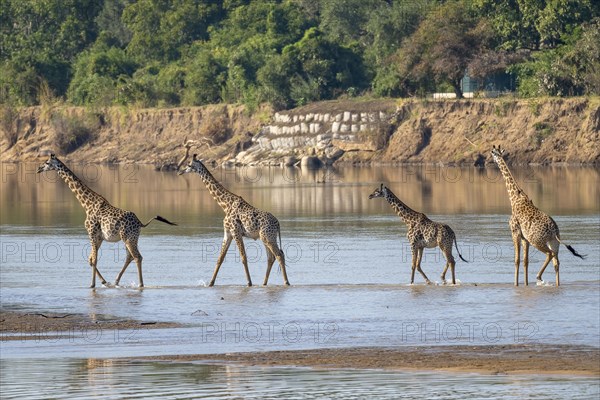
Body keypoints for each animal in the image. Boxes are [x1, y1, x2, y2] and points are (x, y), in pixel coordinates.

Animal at [37, 153, 176, 288]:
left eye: (47, 163)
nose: (38, 169)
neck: (87, 204)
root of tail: (140, 223)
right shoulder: (99, 237)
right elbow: (90, 259)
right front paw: (103, 281)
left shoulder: (92, 233)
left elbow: (94, 260)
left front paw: (92, 284)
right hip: (131, 238)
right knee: (130, 257)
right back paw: (116, 281)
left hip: (128, 238)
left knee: (137, 257)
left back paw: (140, 284)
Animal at [179, 154, 290, 288]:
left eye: (189, 164)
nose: (180, 171)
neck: (225, 205)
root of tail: (278, 223)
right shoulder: (228, 233)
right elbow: (220, 258)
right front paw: (211, 283)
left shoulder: (235, 231)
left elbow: (243, 257)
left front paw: (249, 283)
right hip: (266, 238)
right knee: (271, 258)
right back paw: (264, 283)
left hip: (268, 237)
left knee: (279, 255)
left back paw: (286, 282)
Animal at [490, 145, 584, 286]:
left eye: (493, 154)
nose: (492, 160)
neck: (514, 198)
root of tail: (554, 230)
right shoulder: (525, 238)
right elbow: (525, 261)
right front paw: (525, 284)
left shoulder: (515, 232)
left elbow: (517, 260)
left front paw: (516, 284)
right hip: (553, 242)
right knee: (556, 262)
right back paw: (557, 284)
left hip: (537, 241)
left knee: (549, 254)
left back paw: (539, 277)